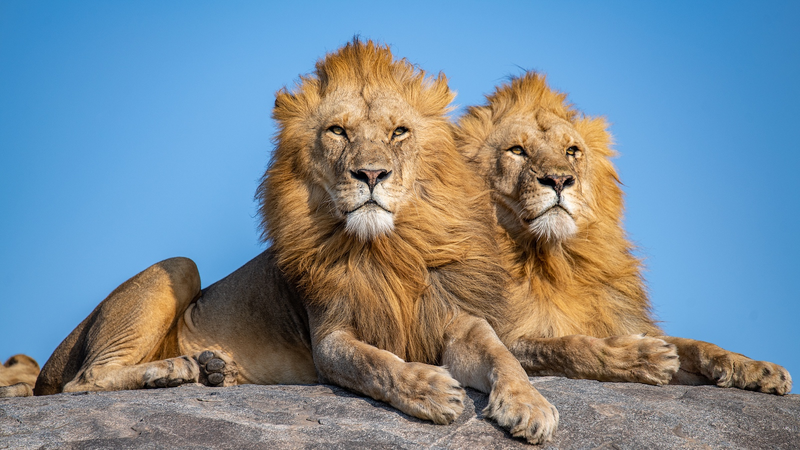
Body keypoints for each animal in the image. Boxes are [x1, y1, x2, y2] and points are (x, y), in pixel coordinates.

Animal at [33, 41, 558, 444]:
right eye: (338, 131)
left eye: (399, 132)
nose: (371, 174)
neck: (389, 247)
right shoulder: (330, 338)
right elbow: (376, 364)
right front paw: (429, 389)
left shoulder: (453, 317)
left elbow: (501, 354)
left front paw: (531, 406)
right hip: (178, 266)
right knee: (82, 381)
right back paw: (175, 369)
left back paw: (212, 369)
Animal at [455, 72, 792, 395]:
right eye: (517, 150)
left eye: (571, 151)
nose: (559, 180)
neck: (550, 259)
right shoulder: (498, 334)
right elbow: (566, 346)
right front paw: (646, 357)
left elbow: (695, 344)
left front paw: (758, 369)